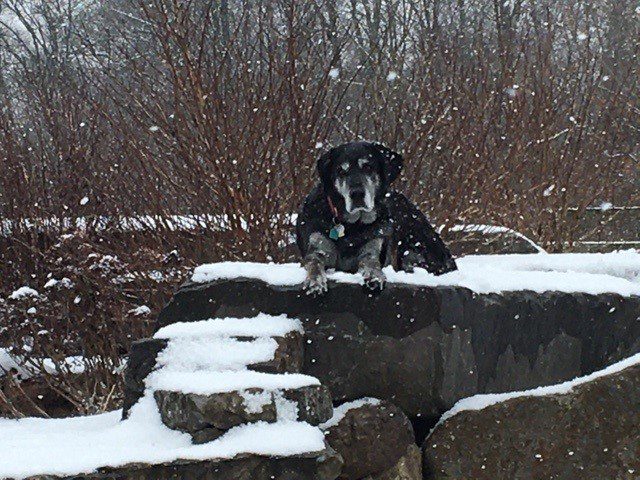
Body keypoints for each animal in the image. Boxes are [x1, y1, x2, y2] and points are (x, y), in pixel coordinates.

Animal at [296, 141, 456, 294]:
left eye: (368, 167)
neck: (352, 226)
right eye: (341, 171)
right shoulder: (317, 248)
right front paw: (315, 282)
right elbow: (314, 263)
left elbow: (372, 262)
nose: (357, 194)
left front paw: (374, 276)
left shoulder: (373, 248)